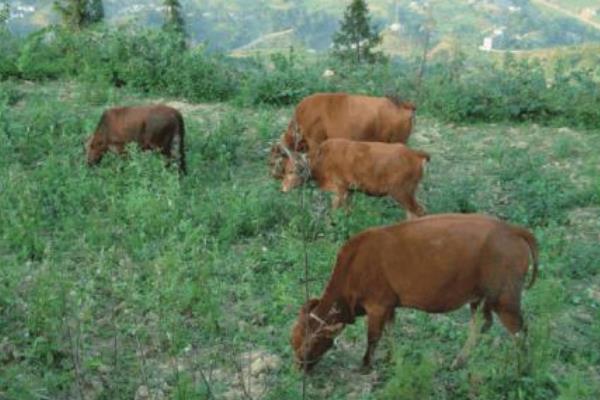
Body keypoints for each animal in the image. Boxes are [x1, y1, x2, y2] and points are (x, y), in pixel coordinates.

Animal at [280, 138, 426, 219]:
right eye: (285, 170)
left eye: (292, 171)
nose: (283, 189)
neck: (320, 163)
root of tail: (418, 156)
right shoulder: (350, 190)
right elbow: (348, 212)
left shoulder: (339, 188)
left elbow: (333, 212)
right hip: (409, 191)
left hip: (401, 190)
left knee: (419, 211)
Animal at [290, 216, 540, 372]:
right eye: (295, 336)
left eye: (309, 341)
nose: (299, 366)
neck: (354, 263)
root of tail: (511, 230)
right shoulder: (389, 306)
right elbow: (390, 333)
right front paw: (392, 359)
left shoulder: (377, 306)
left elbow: (373, 337)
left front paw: (365, 365)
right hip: (479, 300)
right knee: (481, 325)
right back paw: (459, 362)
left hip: (505, 301)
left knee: (520, 331)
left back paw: (522, 369)